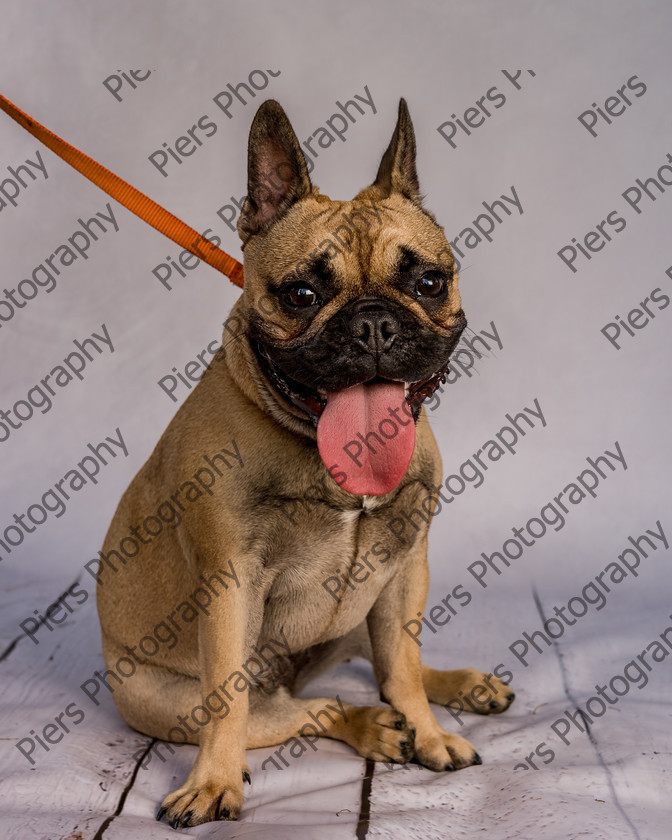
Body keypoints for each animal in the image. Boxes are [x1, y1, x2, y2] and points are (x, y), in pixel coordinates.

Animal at [96, 97, 516, 828]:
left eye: (429, 282)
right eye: (300, 296)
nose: (374, 323)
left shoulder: (405, 568)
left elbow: (403, 665)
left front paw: (430, 734)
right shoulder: (230, 582)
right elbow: (230, 701)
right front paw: (213, 783)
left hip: (368, 607)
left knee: (390, 661)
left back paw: (455, 689)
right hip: (168, 701)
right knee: (302, 709)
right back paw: (371, 726)